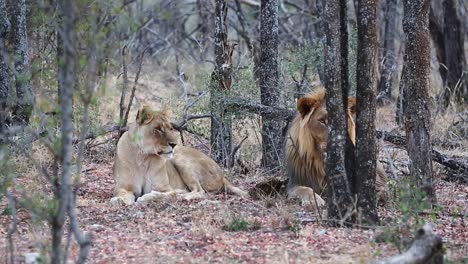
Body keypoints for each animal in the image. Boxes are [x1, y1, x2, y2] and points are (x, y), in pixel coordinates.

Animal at [110, 104, 249, 204]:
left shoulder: (165, 189)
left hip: (179, 158)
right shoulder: (124, 187)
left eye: (170, 128)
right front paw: (119, 200)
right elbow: (121, 193)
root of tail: (222, 174)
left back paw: (183, 195)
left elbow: (163, 195)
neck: (143, 156)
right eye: (158, 129)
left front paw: (146, 198)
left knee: (200, 191)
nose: (174, 144)